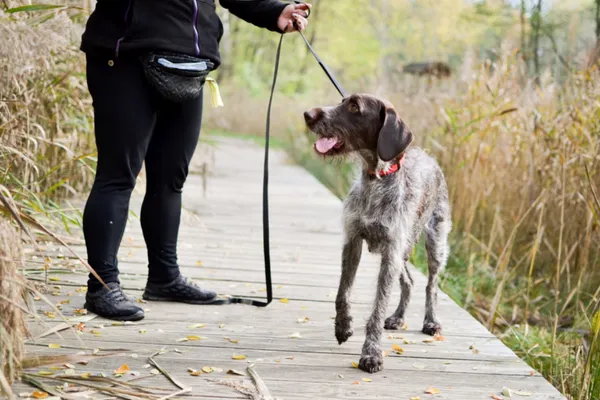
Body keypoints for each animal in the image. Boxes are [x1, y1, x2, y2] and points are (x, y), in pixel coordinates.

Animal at [302, 93, 452, 372]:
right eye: (342, 101)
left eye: (354, 107)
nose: (308, 114)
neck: (376, 179)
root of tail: (429, 157)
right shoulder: (353, 242)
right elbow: (342, 293)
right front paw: (343, 327)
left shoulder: (391, 251)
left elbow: (377, 308)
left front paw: (371, 353)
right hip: (403, 250)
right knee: (409, 281)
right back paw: (398, 317)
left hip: (434, 241)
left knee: (431, 285)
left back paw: (431, 321)